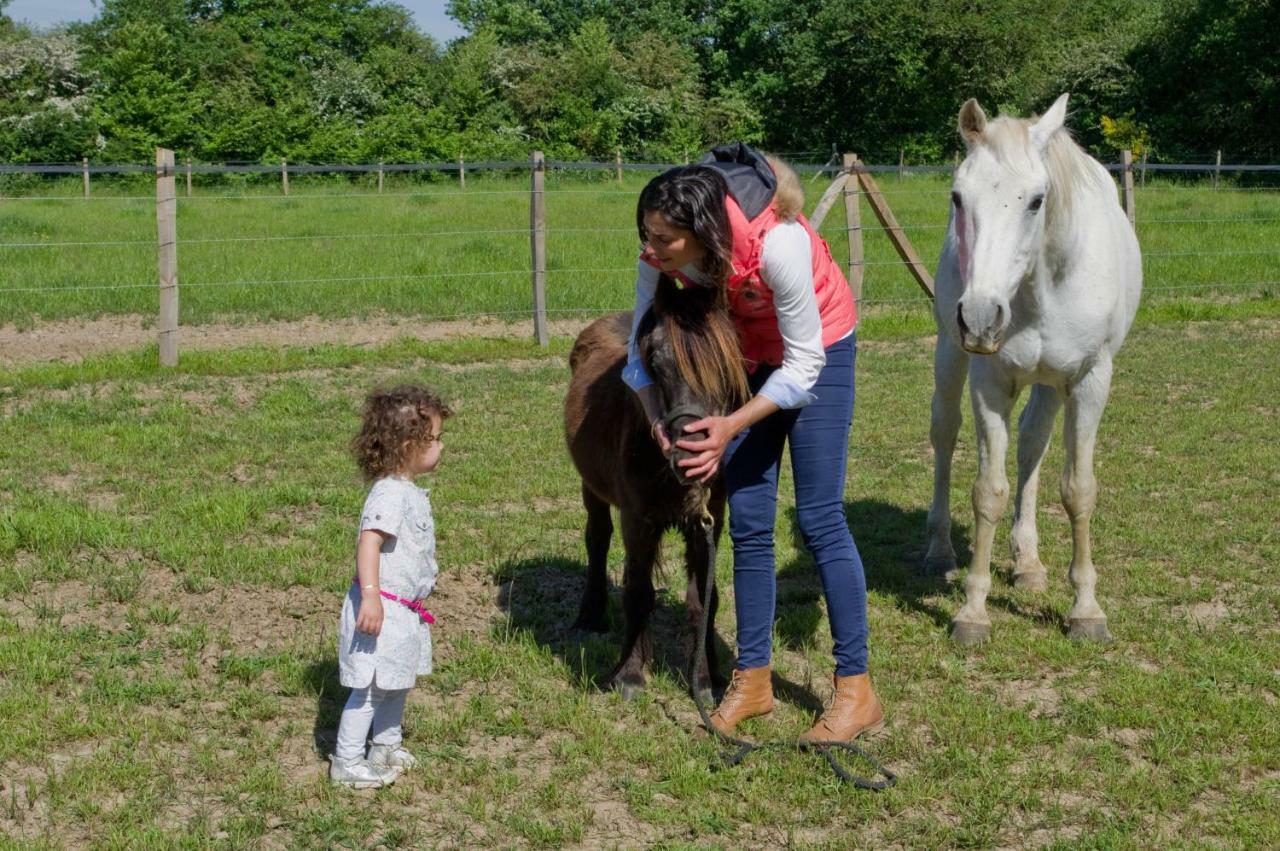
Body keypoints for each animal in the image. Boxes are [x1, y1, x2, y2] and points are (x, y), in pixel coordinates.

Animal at [563, 275, 747, 701]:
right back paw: (589, 615)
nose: (689, 453)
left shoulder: (708, 521)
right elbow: (638, 592)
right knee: (598, 539)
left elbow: (704, 599)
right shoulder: (637, 518)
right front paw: (630, 674)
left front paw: (706, 678)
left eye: (723, 364)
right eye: (656, 363)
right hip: (592, 489)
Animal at [926, 94, 1146, 644]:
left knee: (1032, 446)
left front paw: (1086, 609)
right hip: (949, 353)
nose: (980, 317)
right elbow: (988, 491)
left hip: (1049, 384)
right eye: (958, 198)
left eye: (1036, 201)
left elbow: (1077, 489)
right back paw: (939, 548)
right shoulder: (989, 381)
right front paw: (972, 612)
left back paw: (1027, 562)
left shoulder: (1090, 380)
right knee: (944, 434)